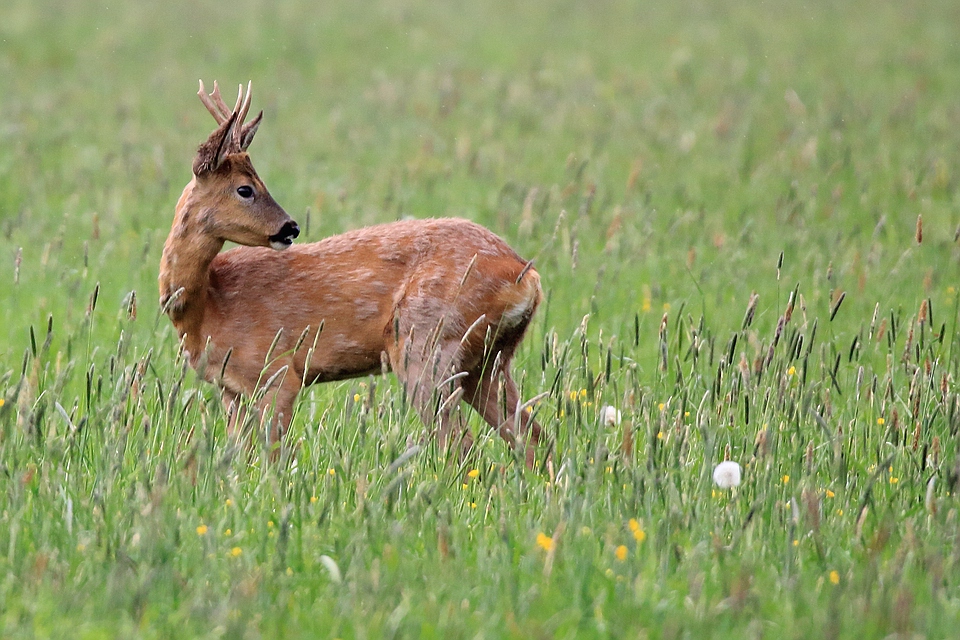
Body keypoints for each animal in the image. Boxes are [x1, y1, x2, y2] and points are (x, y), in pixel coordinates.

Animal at [158, 82, 548, 468]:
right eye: (245, 188)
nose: (290, 227)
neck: (208, 305)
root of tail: (527, 277)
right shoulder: (231, 389)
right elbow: (240, 457)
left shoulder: (278, 372)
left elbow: (273, 457)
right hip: (488, 362)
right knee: (532, 436)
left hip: (428, 346)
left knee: (461, 444)